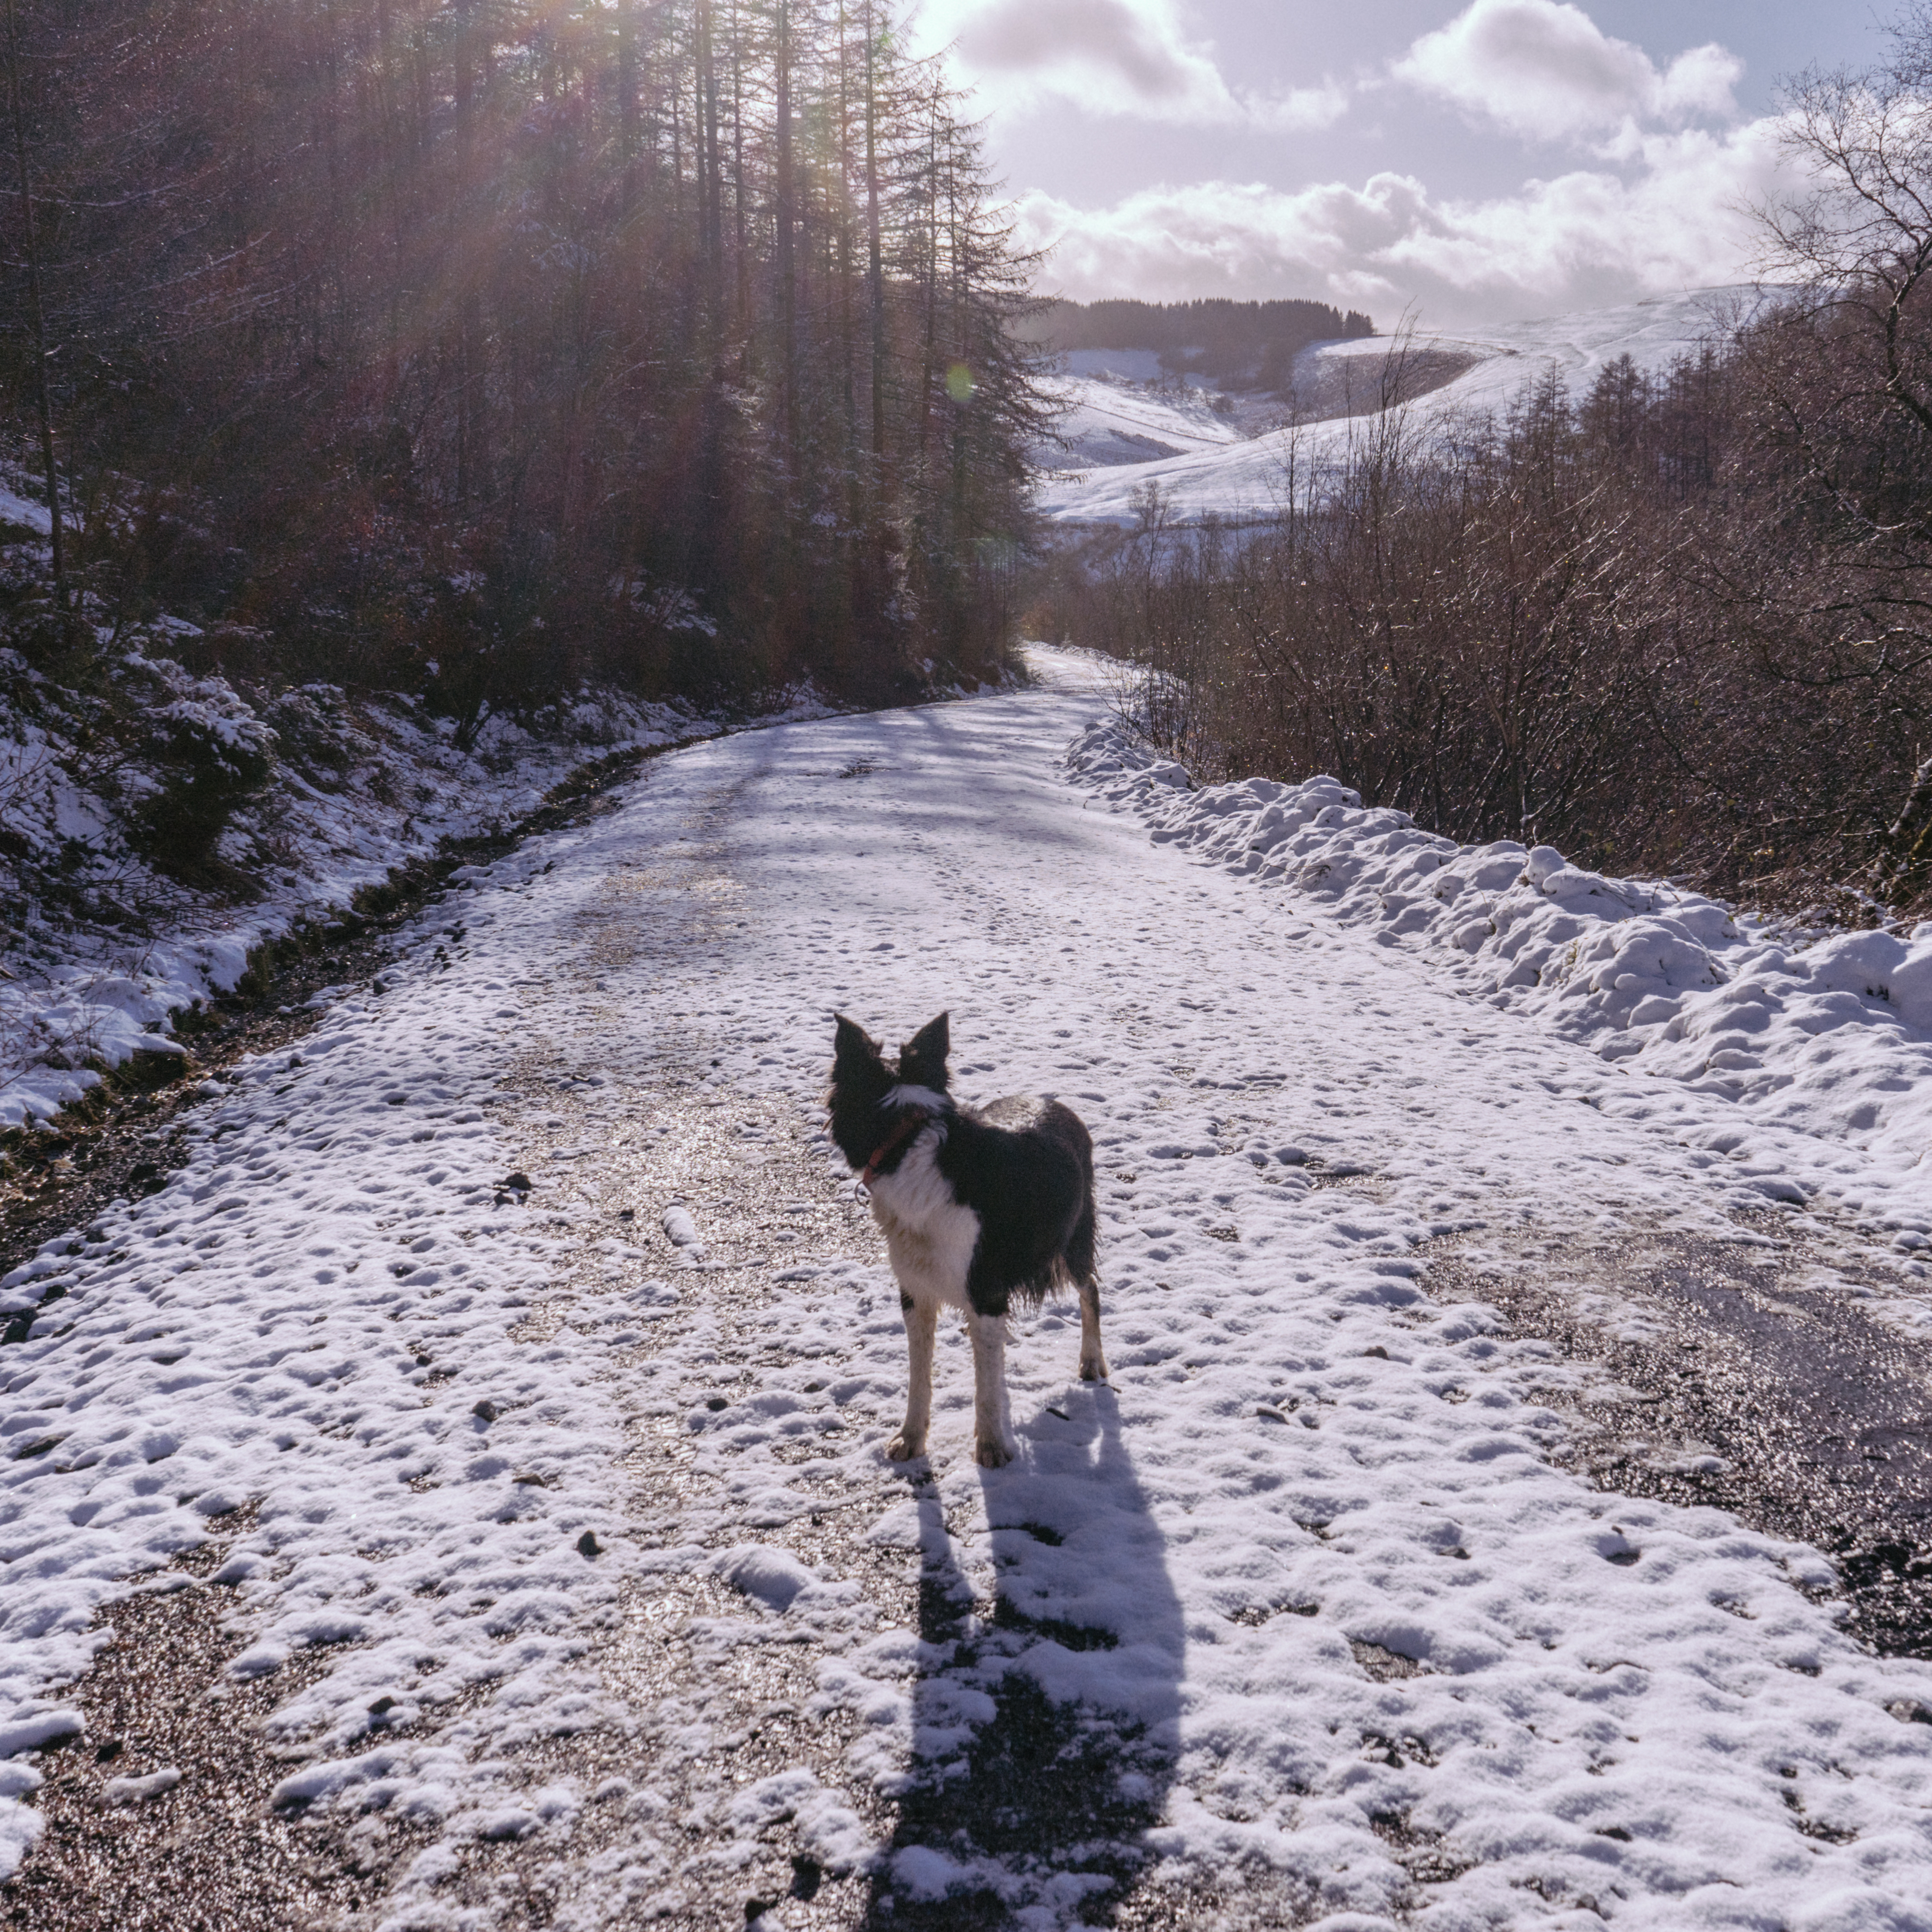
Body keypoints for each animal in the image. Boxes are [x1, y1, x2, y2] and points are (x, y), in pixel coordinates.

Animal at [827, 1012, 1113, 1460]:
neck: (906, 1140)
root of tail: (1054, 1101)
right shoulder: (916, 1289)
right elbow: (920, 1374)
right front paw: (911, 1437)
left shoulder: (985, 1287)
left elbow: (986, 1388)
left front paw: (992, 1447)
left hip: (1072, 1242)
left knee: (1091, 1290)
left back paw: (1091, 1362)